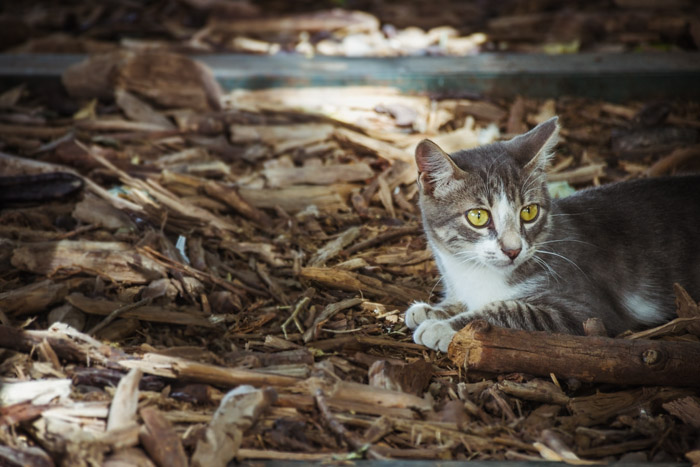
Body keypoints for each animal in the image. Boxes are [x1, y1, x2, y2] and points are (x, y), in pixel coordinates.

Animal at [404, 117, 700, 352]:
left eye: (529, 212)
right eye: (478, 216)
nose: (513, 250)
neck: (475, 272)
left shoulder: (590, 313)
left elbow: (511, 310)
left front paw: (442, 326)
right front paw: (433, 309)